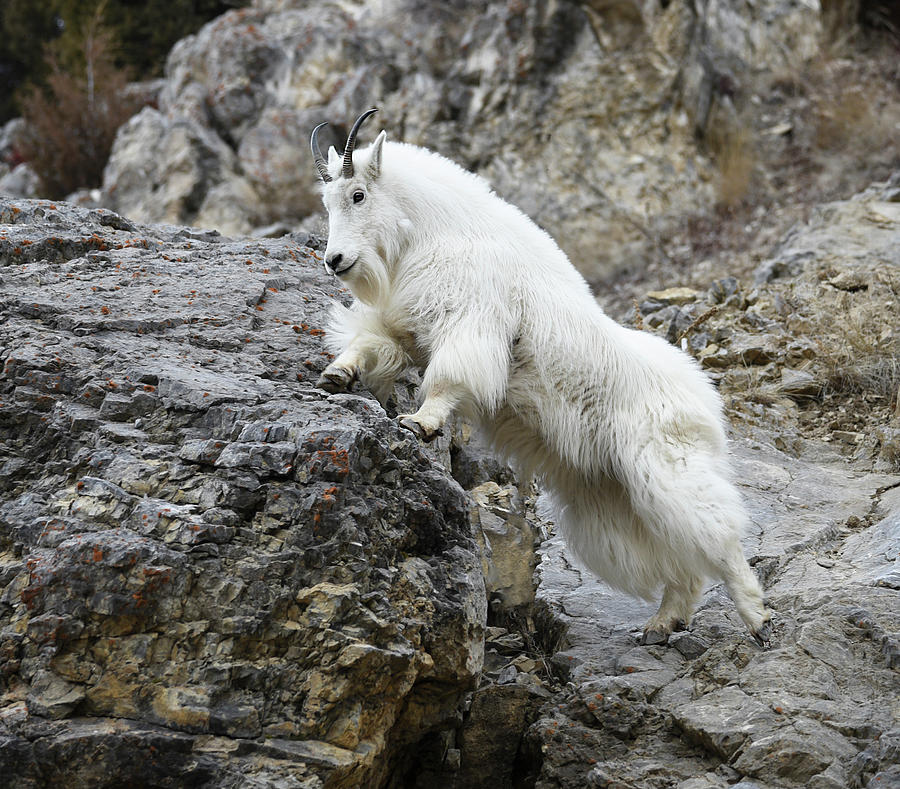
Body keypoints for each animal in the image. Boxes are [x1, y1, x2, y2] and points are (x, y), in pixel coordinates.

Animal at [310, 109, 772, 648]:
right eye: (326, 202)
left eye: (358, 194)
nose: (335, 261)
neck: (434, 232)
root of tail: (707, 399)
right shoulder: (402, 323)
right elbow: (367, 344)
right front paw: (335, 375)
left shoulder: (471, 323)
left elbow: (448, 379)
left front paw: (419, 422)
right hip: (616, 490)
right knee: (680, 554)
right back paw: (663, 622)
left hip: (667, 466)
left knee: (715, 533)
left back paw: (758, 620)